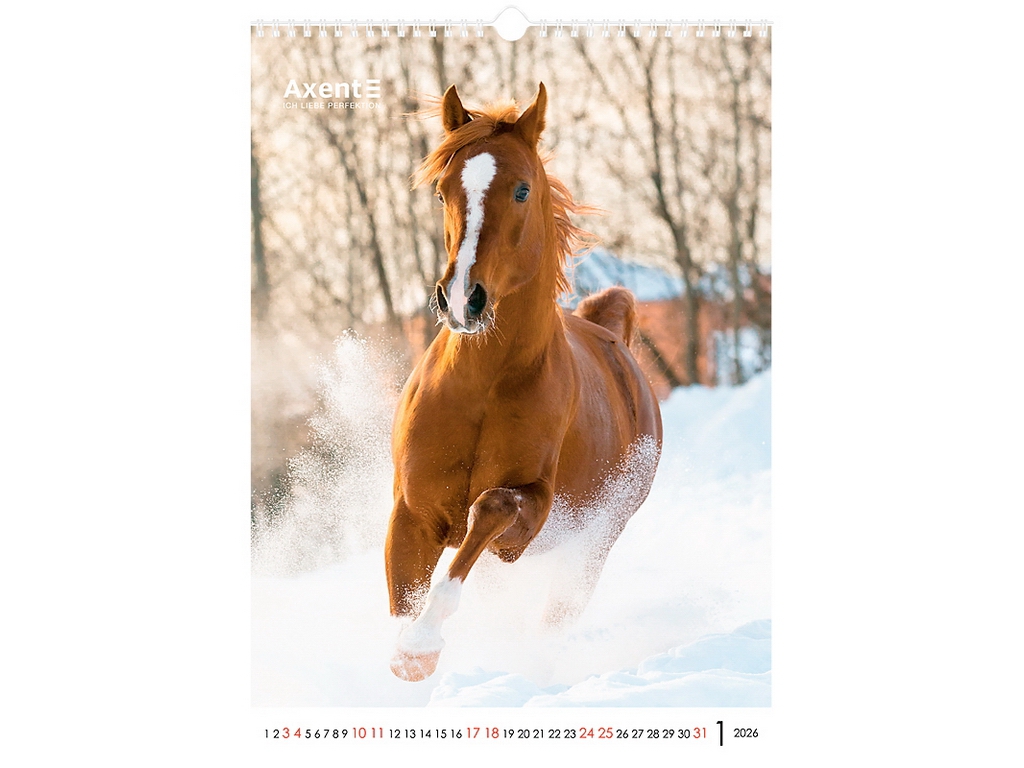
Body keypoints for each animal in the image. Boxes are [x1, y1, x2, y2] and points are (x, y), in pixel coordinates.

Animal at [386, 83, 663, 682]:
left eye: (521, 189)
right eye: (442, 191)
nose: (462, 299)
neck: (482, 387)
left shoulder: (527, 515)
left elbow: (489, 511)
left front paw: (422, 644)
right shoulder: (412, 514)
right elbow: (403, 600)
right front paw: (408, 655)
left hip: (592, 546)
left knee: (554, 617)